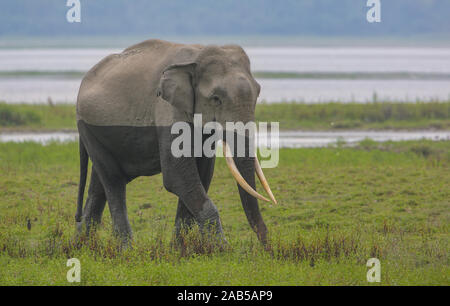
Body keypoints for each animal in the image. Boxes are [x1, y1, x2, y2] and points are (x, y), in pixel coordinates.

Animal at [75, 38, 276, 249]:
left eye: (258, 93)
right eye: (216, 99)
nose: (267, 247)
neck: (197, 55)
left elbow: (203, 174)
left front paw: (180, 248)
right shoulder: (167, 107)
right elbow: (176, 175)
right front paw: (223, 249)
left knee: (99, 185)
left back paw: (82, 244)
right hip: (88, 127)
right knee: (113, 180)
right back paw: (125, 249)